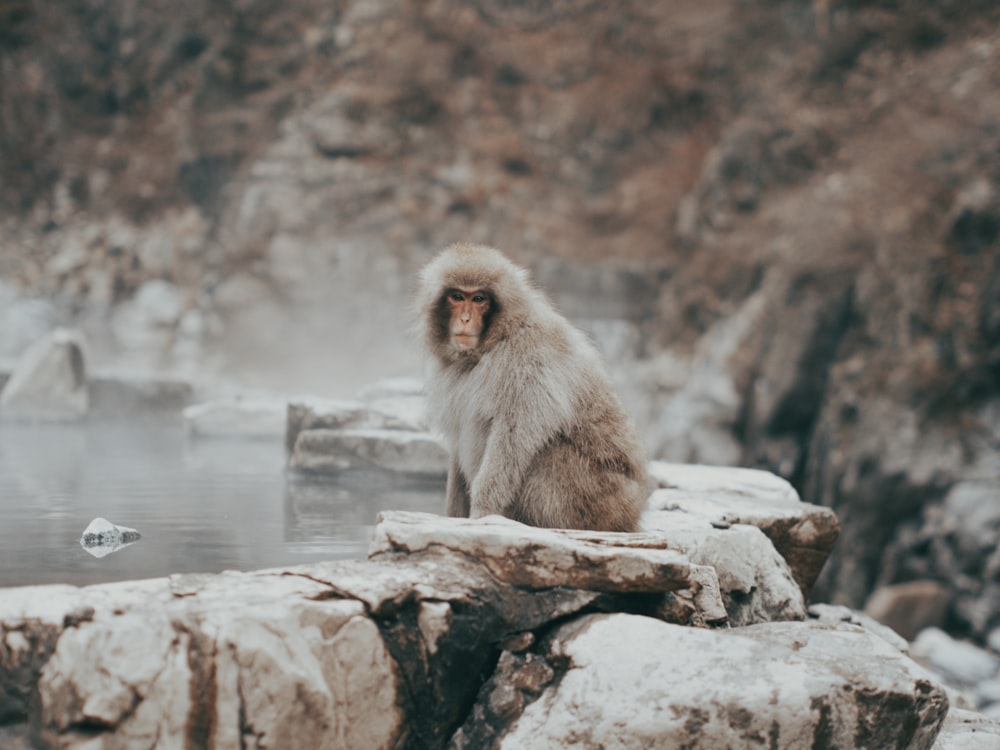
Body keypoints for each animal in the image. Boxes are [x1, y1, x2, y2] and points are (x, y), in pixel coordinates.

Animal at [412, 244, 648, 532]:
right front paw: (453, 514)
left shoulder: (529, 358)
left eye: (479, 299)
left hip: (601, 500)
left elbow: (511, 436)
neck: (493, 341)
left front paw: (483, 511)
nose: (465, 319)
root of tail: (633, 514)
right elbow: (459, 437)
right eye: (457, 296)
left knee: (547, 453)